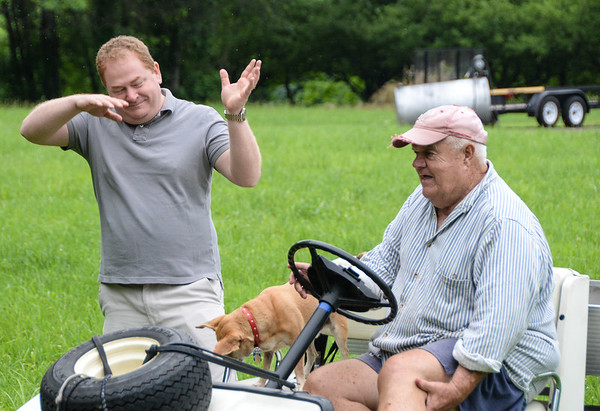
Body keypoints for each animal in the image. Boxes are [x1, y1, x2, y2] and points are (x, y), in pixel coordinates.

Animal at [199, 284, 350, 390]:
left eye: (230, 352)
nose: (226, 365)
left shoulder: (296, 342)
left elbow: (297, 367)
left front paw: (300, 384)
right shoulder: (269, 350)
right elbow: (266, 368)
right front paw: (261, 383)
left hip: (338, 332)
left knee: (344, 352)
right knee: (313, 354)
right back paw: (308, 373)